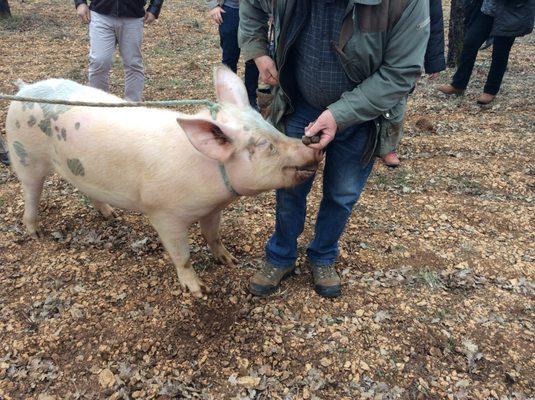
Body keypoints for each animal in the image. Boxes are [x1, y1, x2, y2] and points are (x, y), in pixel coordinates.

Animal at [6, 66, 320, 296]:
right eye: (265, 145)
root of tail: (24, 88)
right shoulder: (163, 214)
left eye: (270, 126)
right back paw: (35, 232)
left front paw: (230, 262)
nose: (313, 145)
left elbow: (213, 236)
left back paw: (111, 216)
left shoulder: (212, 210)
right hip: (24, 155)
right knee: (31, 191)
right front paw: (198, 291)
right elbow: (182, 255)